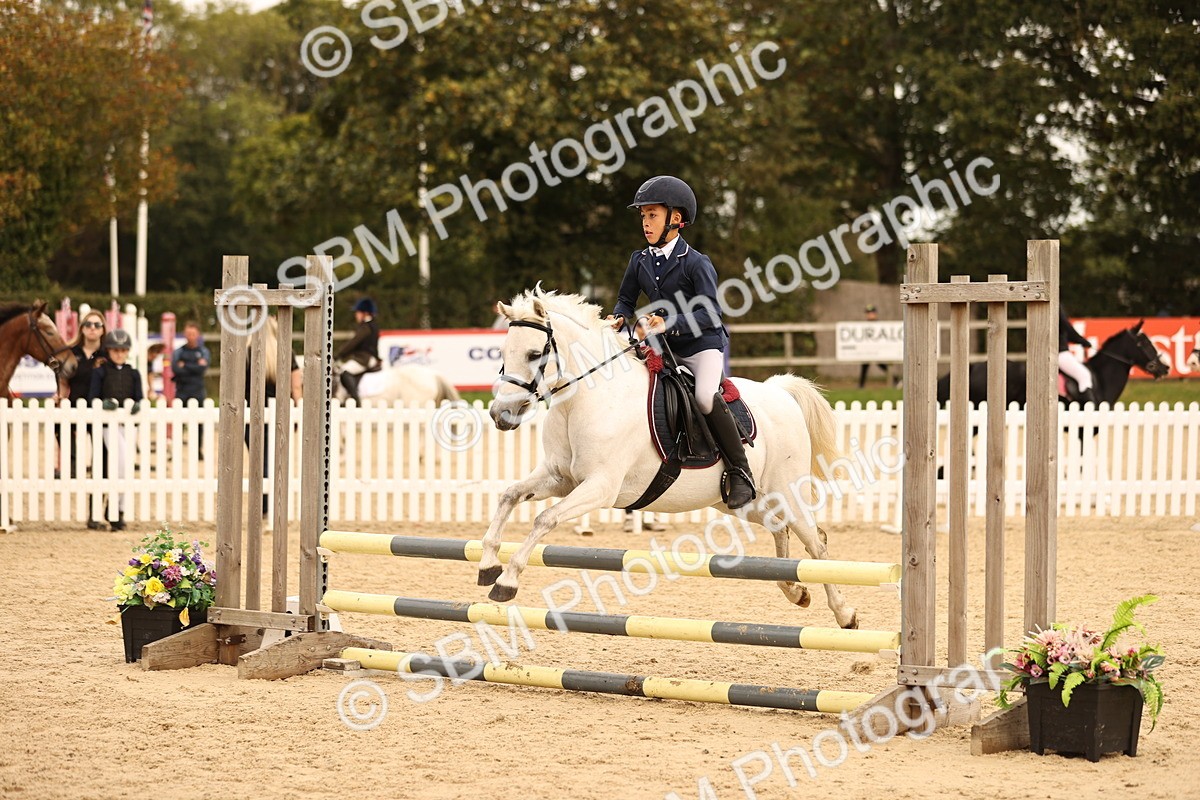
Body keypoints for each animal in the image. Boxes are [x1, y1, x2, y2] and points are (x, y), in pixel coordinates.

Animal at [479, 288, 859, 630]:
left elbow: (545, 519)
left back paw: (845, 614)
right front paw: (487, 565)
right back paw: (795, 590)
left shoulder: (600, 487)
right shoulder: (559, 478)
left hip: (787, 491)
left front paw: (507, 581)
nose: (501, 414)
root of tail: (780, 391)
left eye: (533, 354)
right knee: (781, 529)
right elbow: (509, 495)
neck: (584, 401)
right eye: (503, 353)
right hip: (743, 502)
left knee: (816, 544)